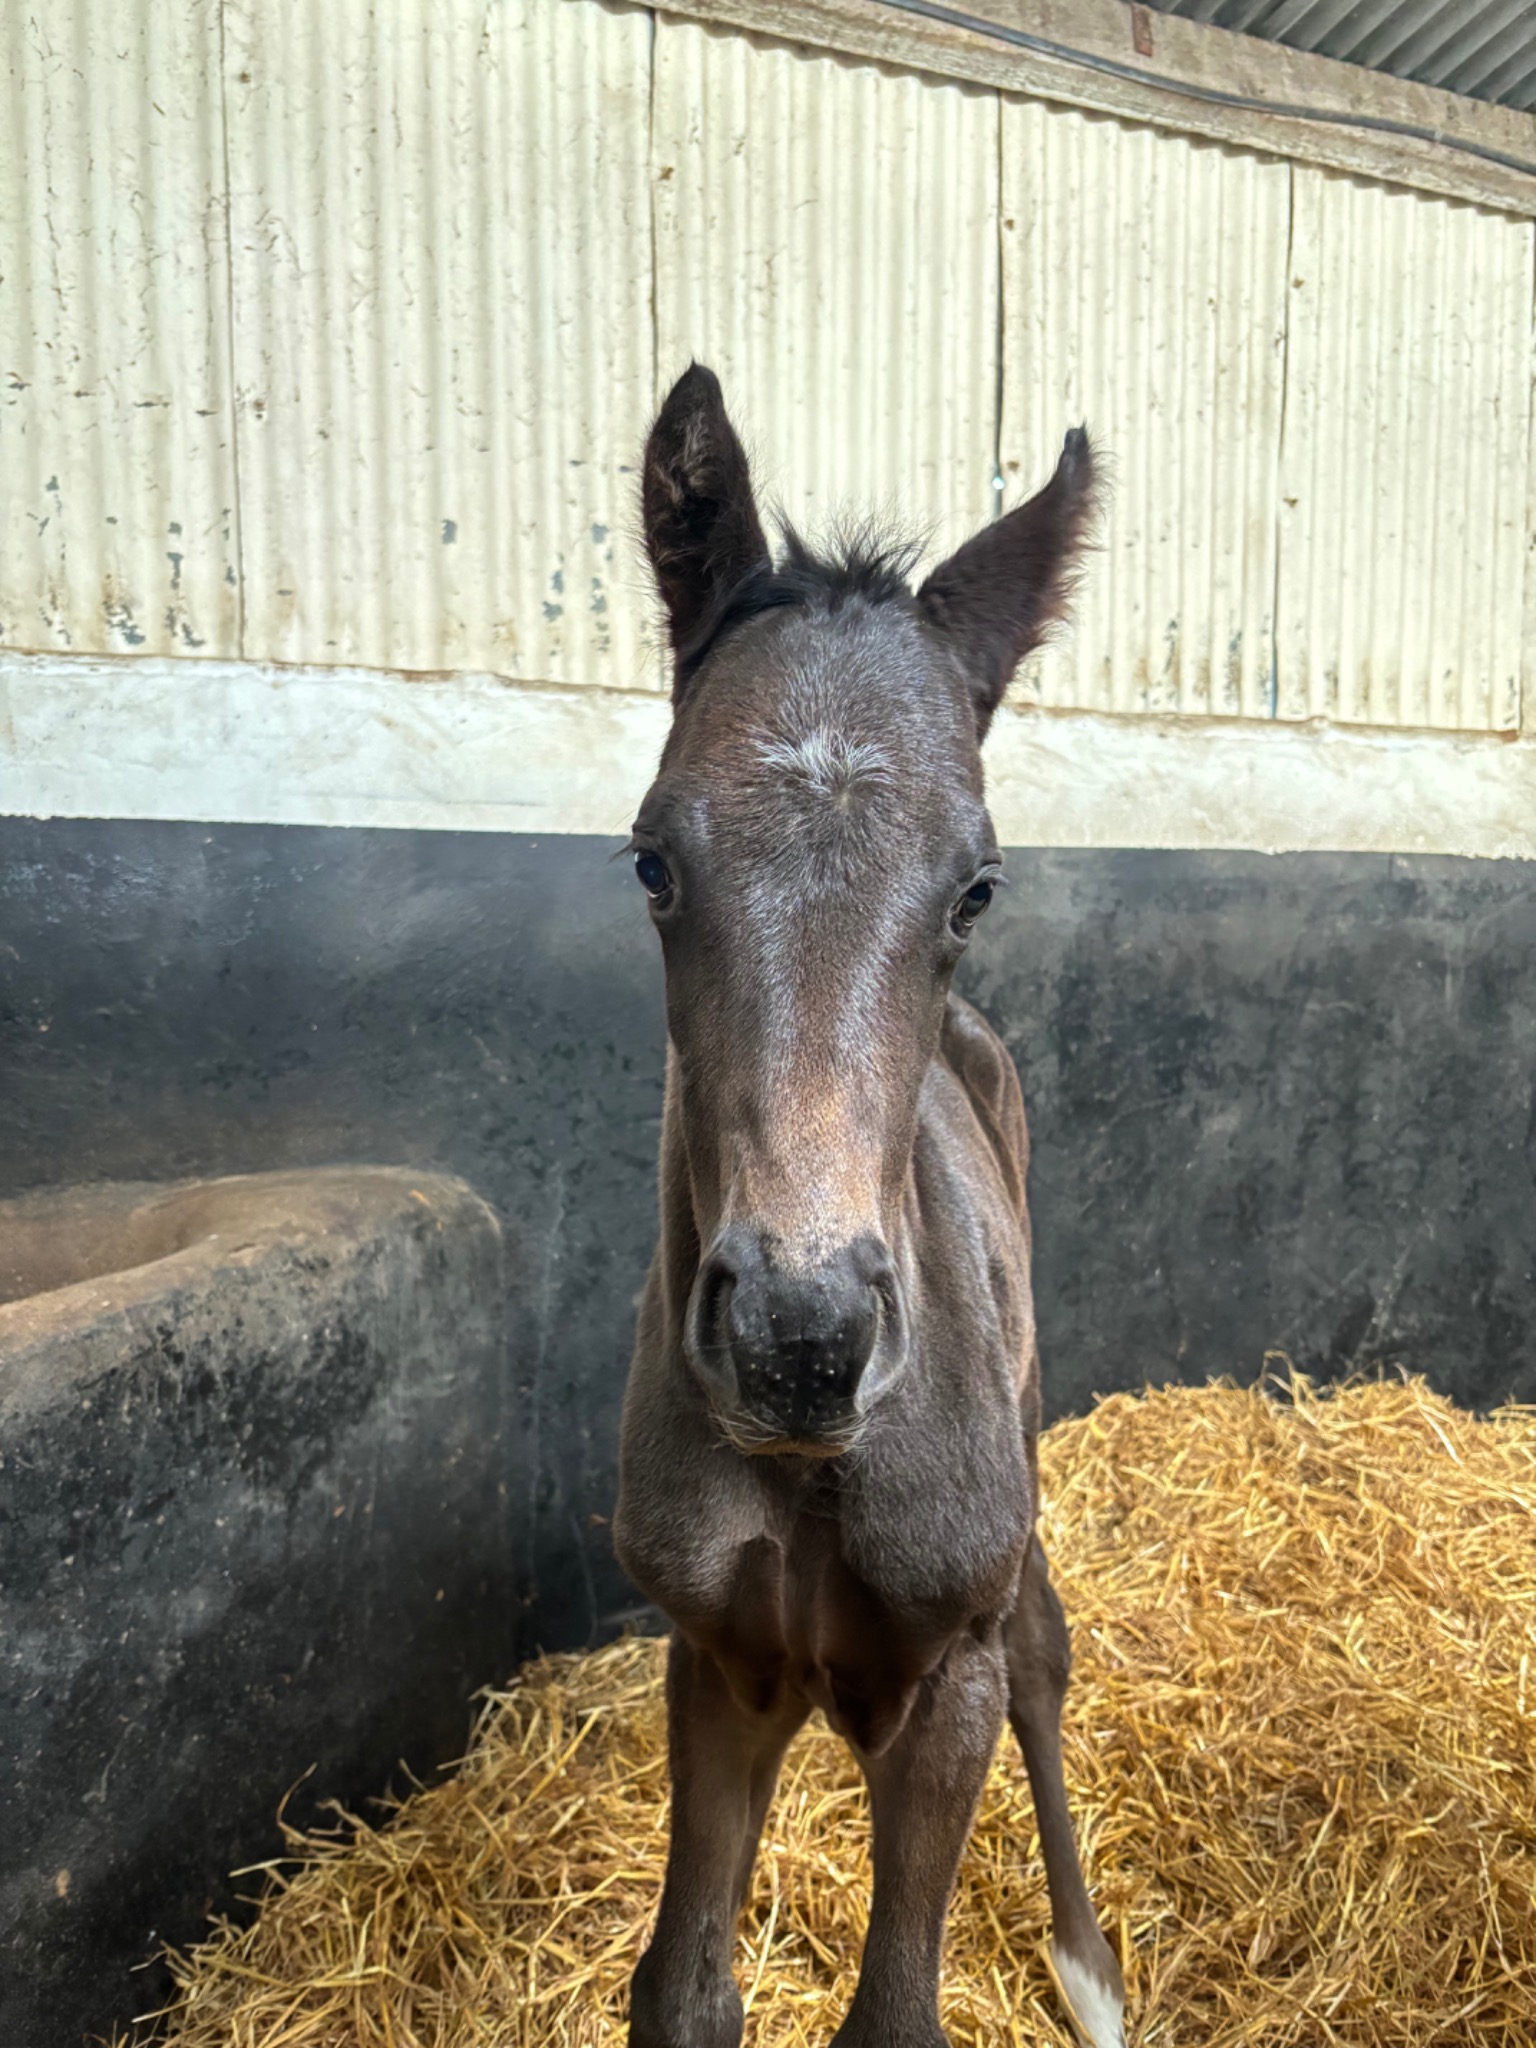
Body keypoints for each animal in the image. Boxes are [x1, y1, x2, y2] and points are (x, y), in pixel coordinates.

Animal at [612, 363, 1125, 2048]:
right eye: (651, 861)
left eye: (976, 886)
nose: (801, 1340)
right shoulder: (719, 1661)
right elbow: (680, 1992)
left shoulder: (945, 1673)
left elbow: (900, 2007)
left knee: (1045, 1647)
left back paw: (1092, 1971)